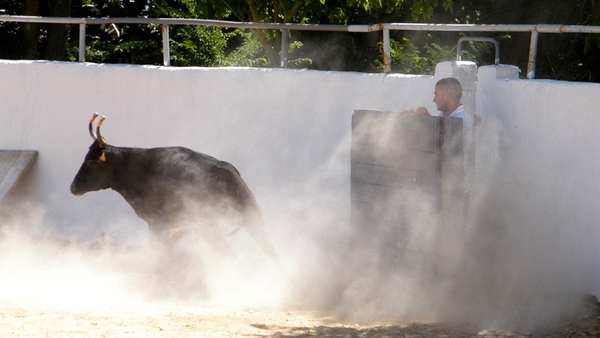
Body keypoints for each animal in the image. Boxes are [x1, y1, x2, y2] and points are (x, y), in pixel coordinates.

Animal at [71, 113, 276, 258]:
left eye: (90, 161)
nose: (73, 187)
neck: (132, 165)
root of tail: (226, 173)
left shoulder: (157, 224)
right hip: (253, 220)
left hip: (212, 229)